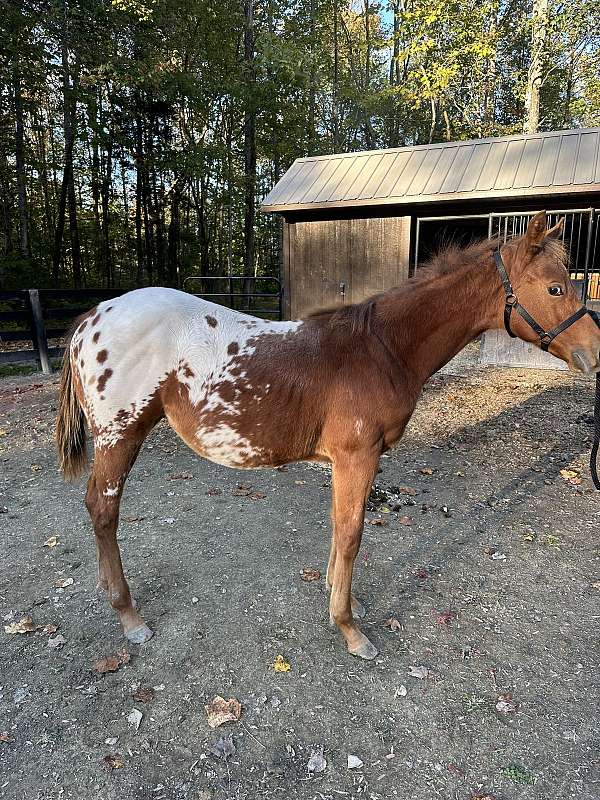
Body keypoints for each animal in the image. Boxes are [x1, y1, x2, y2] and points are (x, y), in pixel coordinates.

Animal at [55, 209, 600, 660]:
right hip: (120, 436)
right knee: (103, 511)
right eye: (555, 288)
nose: (595, 353)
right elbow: (353, 532)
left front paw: (343, 600)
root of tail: (92, 318)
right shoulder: (359, 455)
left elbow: (339, 530)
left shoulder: (343, 461)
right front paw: (350, 628)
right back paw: (129, 616)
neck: (381, 348)